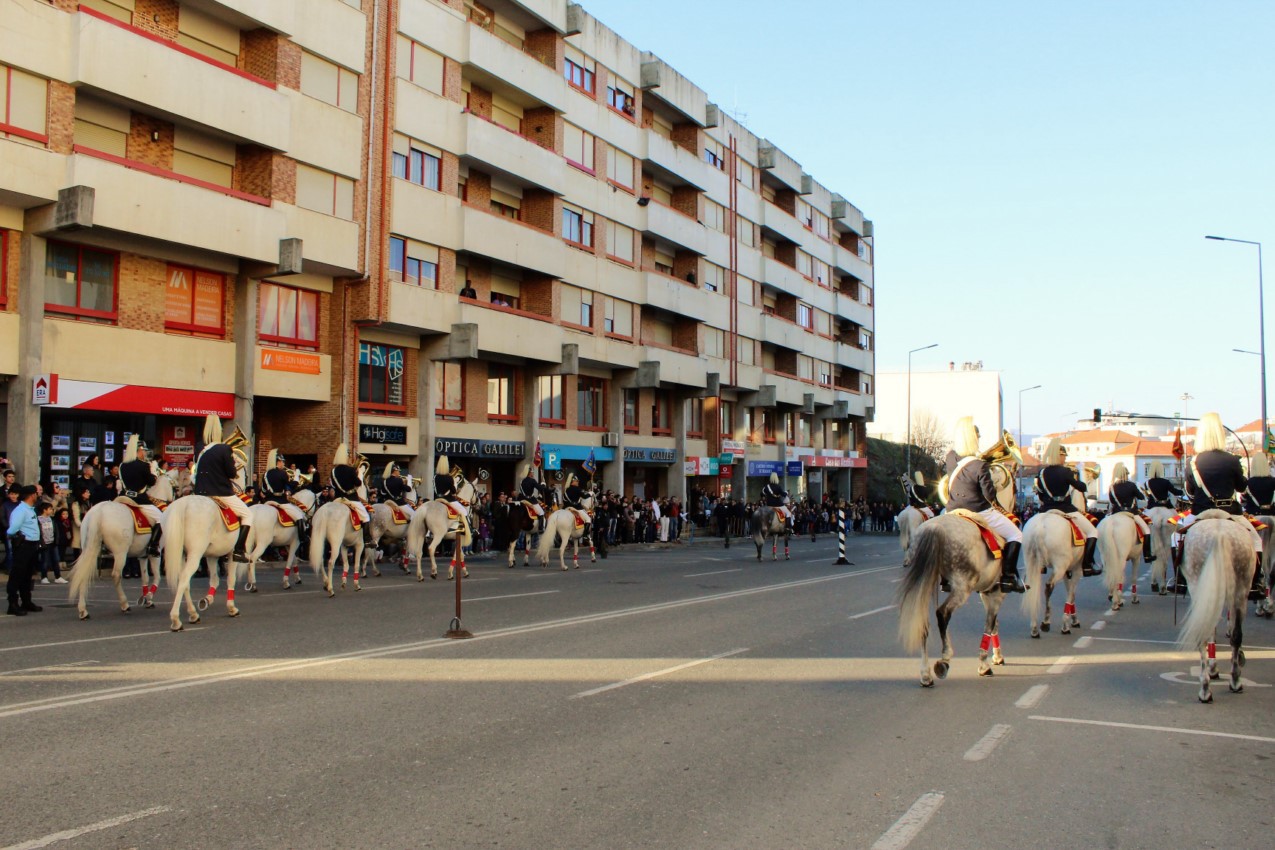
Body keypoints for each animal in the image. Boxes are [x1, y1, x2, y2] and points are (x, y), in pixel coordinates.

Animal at [67, 471, 175, 619]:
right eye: (174, 487)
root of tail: (98, 513)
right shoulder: (155, 553)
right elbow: (157, 577)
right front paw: (149, 597)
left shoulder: (142, 555)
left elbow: (145, 577)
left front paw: (147, 599)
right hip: (120, 553)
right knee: (116, 575)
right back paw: (124, 605)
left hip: (89, 550)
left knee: (83, 574)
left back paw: (83, 610)